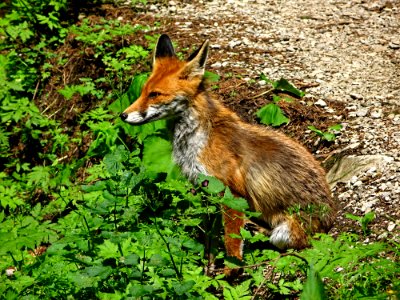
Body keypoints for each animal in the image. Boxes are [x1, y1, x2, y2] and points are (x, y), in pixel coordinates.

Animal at [120, 34, 336, 264]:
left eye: (155, 94)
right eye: (143, 91)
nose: (123, 115)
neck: (199, 138)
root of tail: (331, 214)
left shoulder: (232, 193)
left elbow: (231, 243)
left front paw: (230, 269)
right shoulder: (206, 187)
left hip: (284, 232)